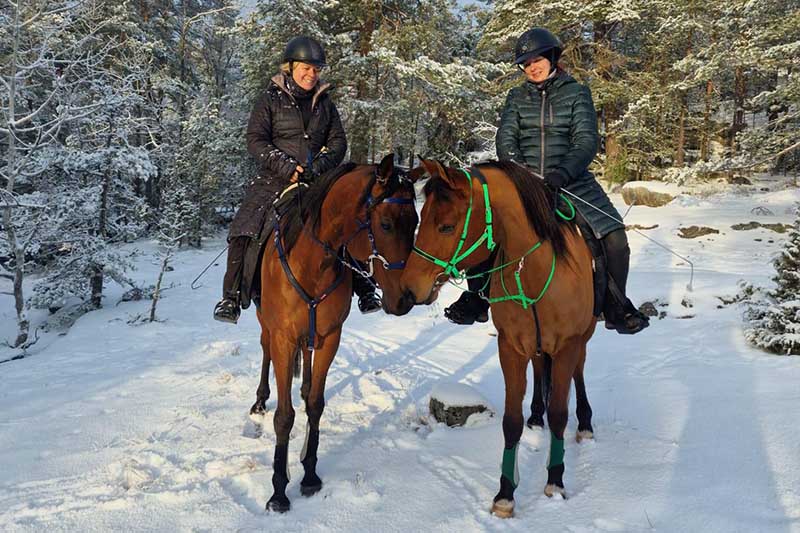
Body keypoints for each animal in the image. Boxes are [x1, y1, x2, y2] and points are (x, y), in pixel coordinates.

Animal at [253, 154, 418, 512]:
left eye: (415, 221)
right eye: (386, 224)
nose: (406, 298)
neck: (313, 263)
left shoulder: (330, 337)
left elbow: (316, 404)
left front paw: (310, 475)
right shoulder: (284, 338)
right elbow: (284, 417)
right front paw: (278, 491)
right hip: (265, 325)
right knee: (264, 350)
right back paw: (259, 401)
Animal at [396, 158, 596, 516]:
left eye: (446, 226)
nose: (408, 289)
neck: (533, 273)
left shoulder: (567, 345)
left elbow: (560, 413)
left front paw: (555, 482)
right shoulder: (510, 347)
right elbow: (511, 421)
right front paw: (505, 494)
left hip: (582, 338)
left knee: (579, 372)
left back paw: (585, 425)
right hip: (536, 347)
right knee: (539, 371)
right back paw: (536, 417)